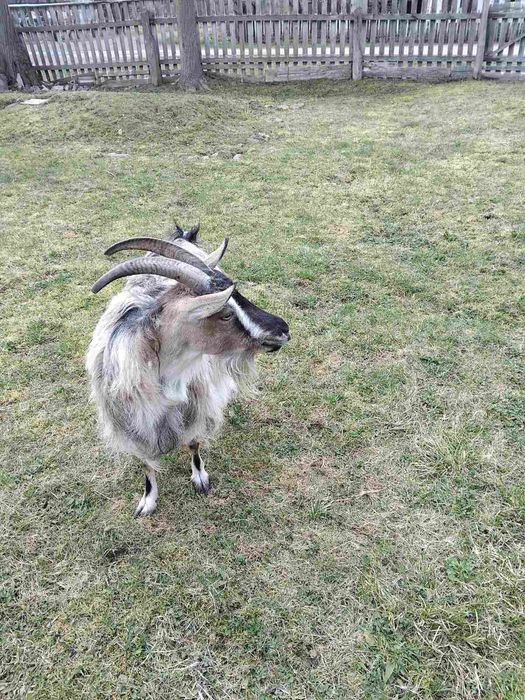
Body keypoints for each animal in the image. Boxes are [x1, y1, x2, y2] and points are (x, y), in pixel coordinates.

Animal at [86, 225, 290, 516]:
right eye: (225, 314)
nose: (283, 328)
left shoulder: (195, 407)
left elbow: (193, 442)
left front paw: (200, 478)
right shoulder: (129, 426)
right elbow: (145, 462)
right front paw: (147, 500)